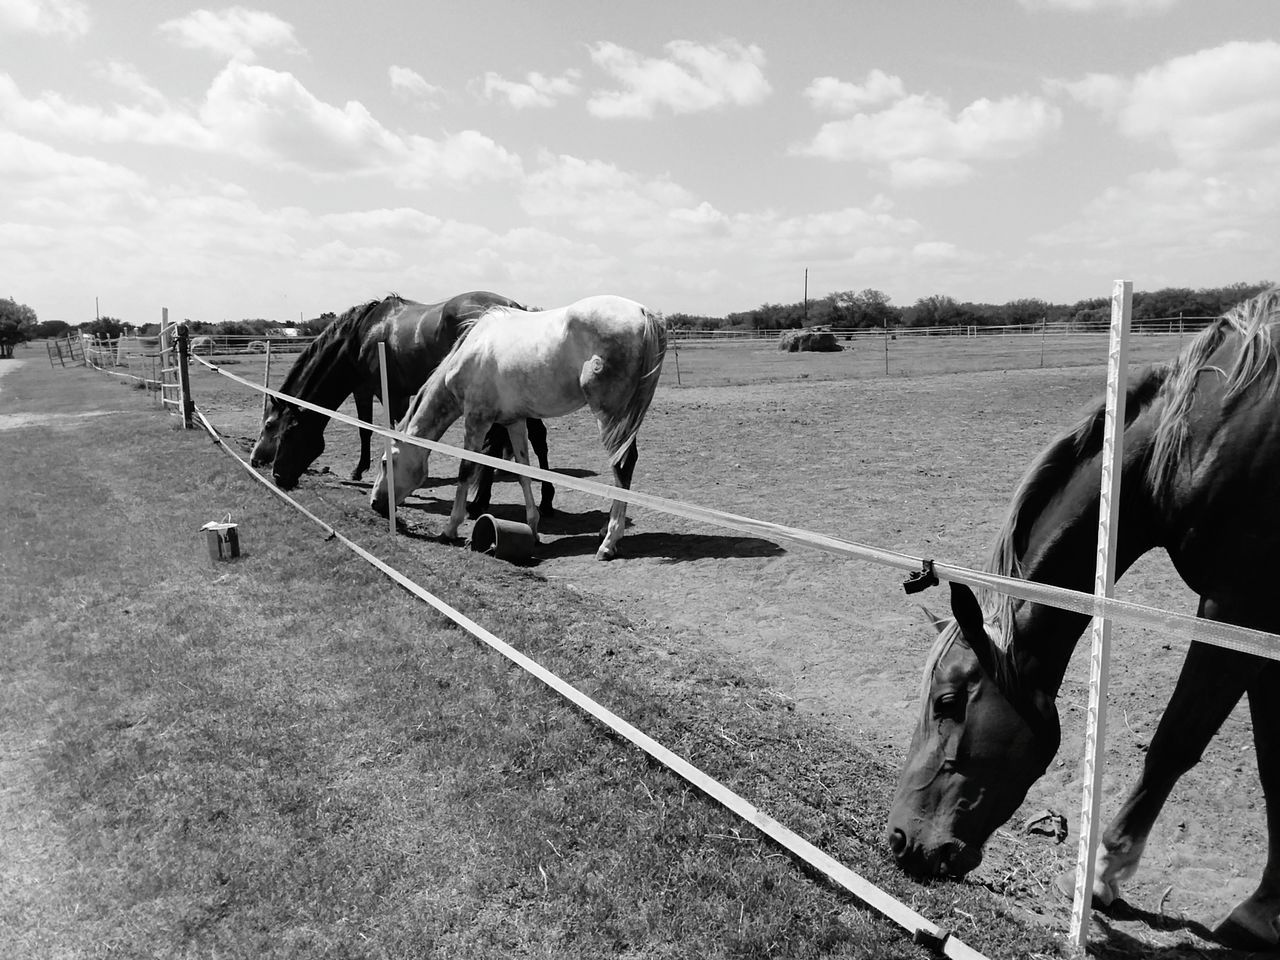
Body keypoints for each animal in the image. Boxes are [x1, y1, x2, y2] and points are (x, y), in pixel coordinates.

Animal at [371, 296, 665, 560]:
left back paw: (608, 542)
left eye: (386, 462)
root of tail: (643, 312)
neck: (472, 351)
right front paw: (533, 528)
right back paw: (607, 530)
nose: (375, 503)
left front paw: (450, 527)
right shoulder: (514, 421)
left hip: (611, 417)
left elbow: (466, 470)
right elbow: (523, 471)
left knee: (622, 466)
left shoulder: (476, 420)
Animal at [890, 289, 1280, 952]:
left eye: (947, 702)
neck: (1205, 430)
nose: (899, 840)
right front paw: (1263, 910)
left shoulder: (1236, 606)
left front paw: (1101, 873)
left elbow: (1175, 742)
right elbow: (1275, 763)